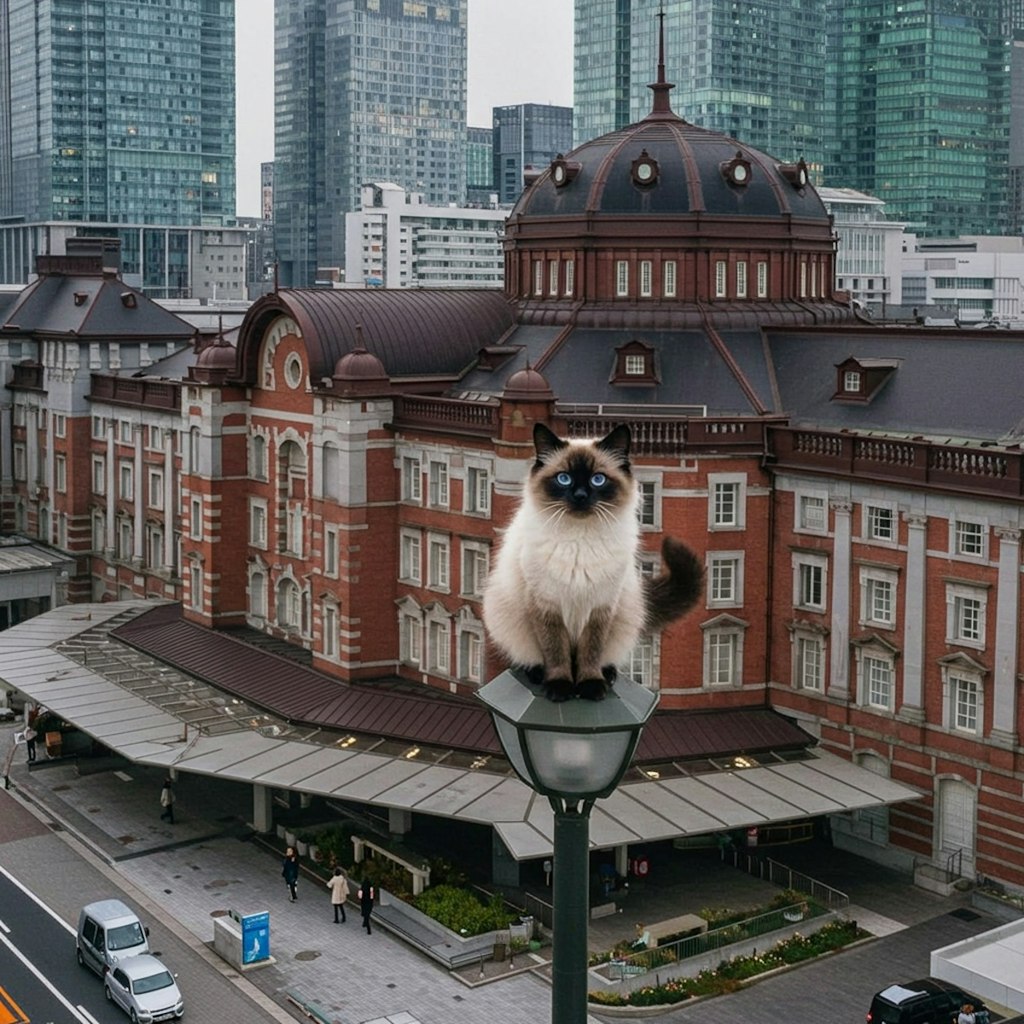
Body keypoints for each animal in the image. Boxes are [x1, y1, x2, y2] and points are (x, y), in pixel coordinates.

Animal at [481, 423, 704, 704]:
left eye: (598, 479)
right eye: (563, 478)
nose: (580, 495)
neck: (580, 540)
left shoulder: (601, 607)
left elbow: (591, 652)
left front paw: (590, 686)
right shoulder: (547, 606)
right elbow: (556, 652)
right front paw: (560, 688)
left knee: (603, 657)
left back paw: (607, 675)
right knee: (531, 655)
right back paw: (538, 673)